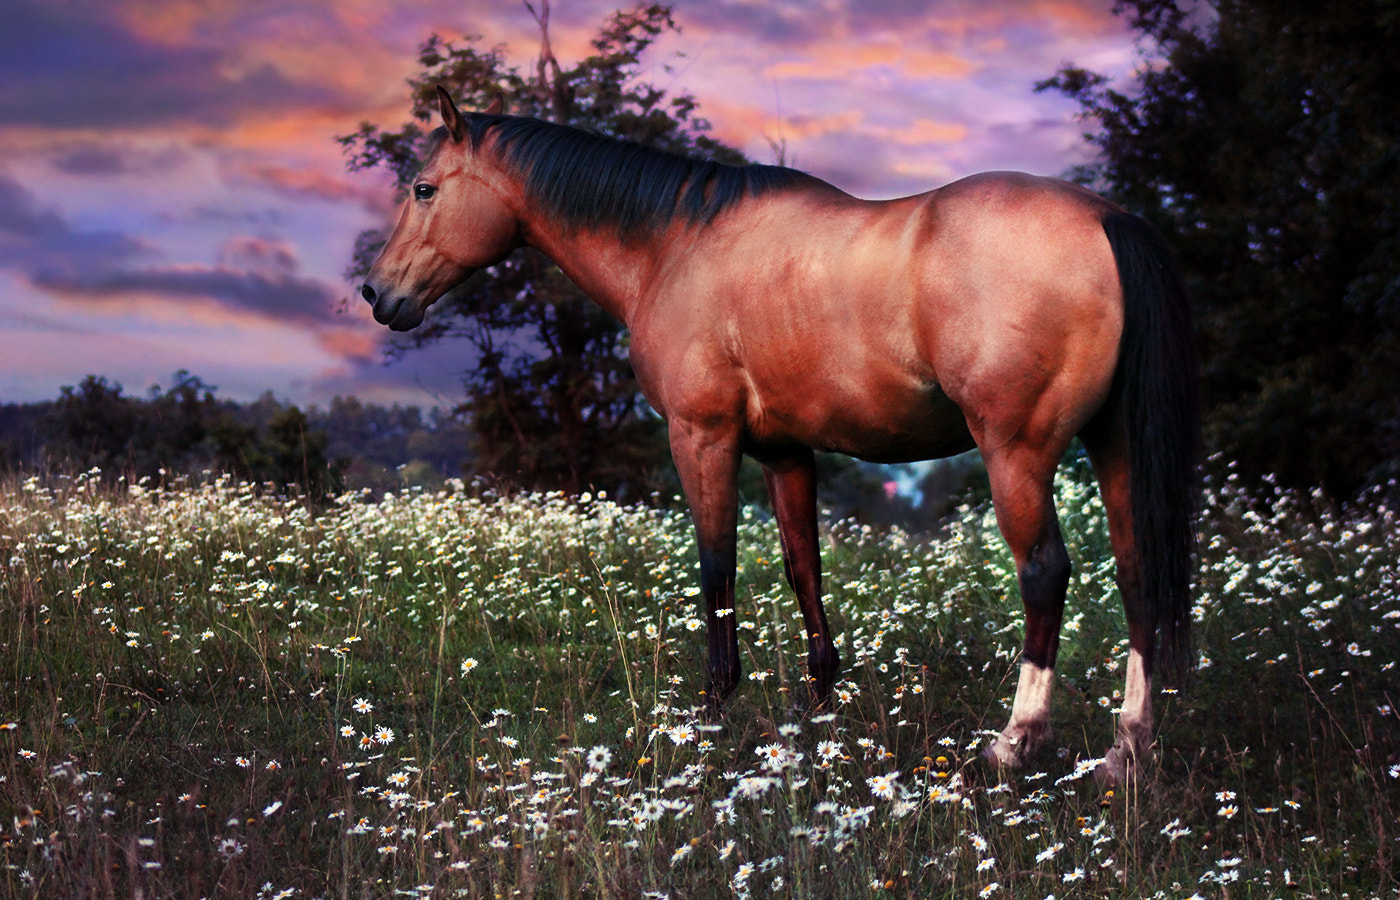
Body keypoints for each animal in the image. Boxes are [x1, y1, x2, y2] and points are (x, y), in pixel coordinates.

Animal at [361, 88, 1199, 783]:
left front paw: (711, 709)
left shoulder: (702, 438)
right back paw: (1126, 750)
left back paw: (1013, 743)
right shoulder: (784, 452)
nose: (377, 292)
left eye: (424, 188)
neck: (675, 246)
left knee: (1045, 574)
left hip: (1016, 455)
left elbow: (716, 569)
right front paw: (816, 704)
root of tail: (1108, 219)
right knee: (1138, 574)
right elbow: (805, 569)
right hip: (1114, 448)